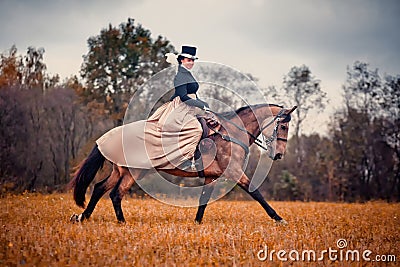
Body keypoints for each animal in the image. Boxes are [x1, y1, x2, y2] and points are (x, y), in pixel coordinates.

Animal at [69, 104, 296, 226]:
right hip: (134, 173)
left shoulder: (212, 176)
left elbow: (203, 200)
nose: (279, 155)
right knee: (116, 194)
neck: (231, 133)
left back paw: (83, 217)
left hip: (121, 171)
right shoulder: (234, 172)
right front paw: (279, 219)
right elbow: (256, 193)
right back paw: (122, 223)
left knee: (99, 188)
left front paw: (196, 223)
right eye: (284, 126)